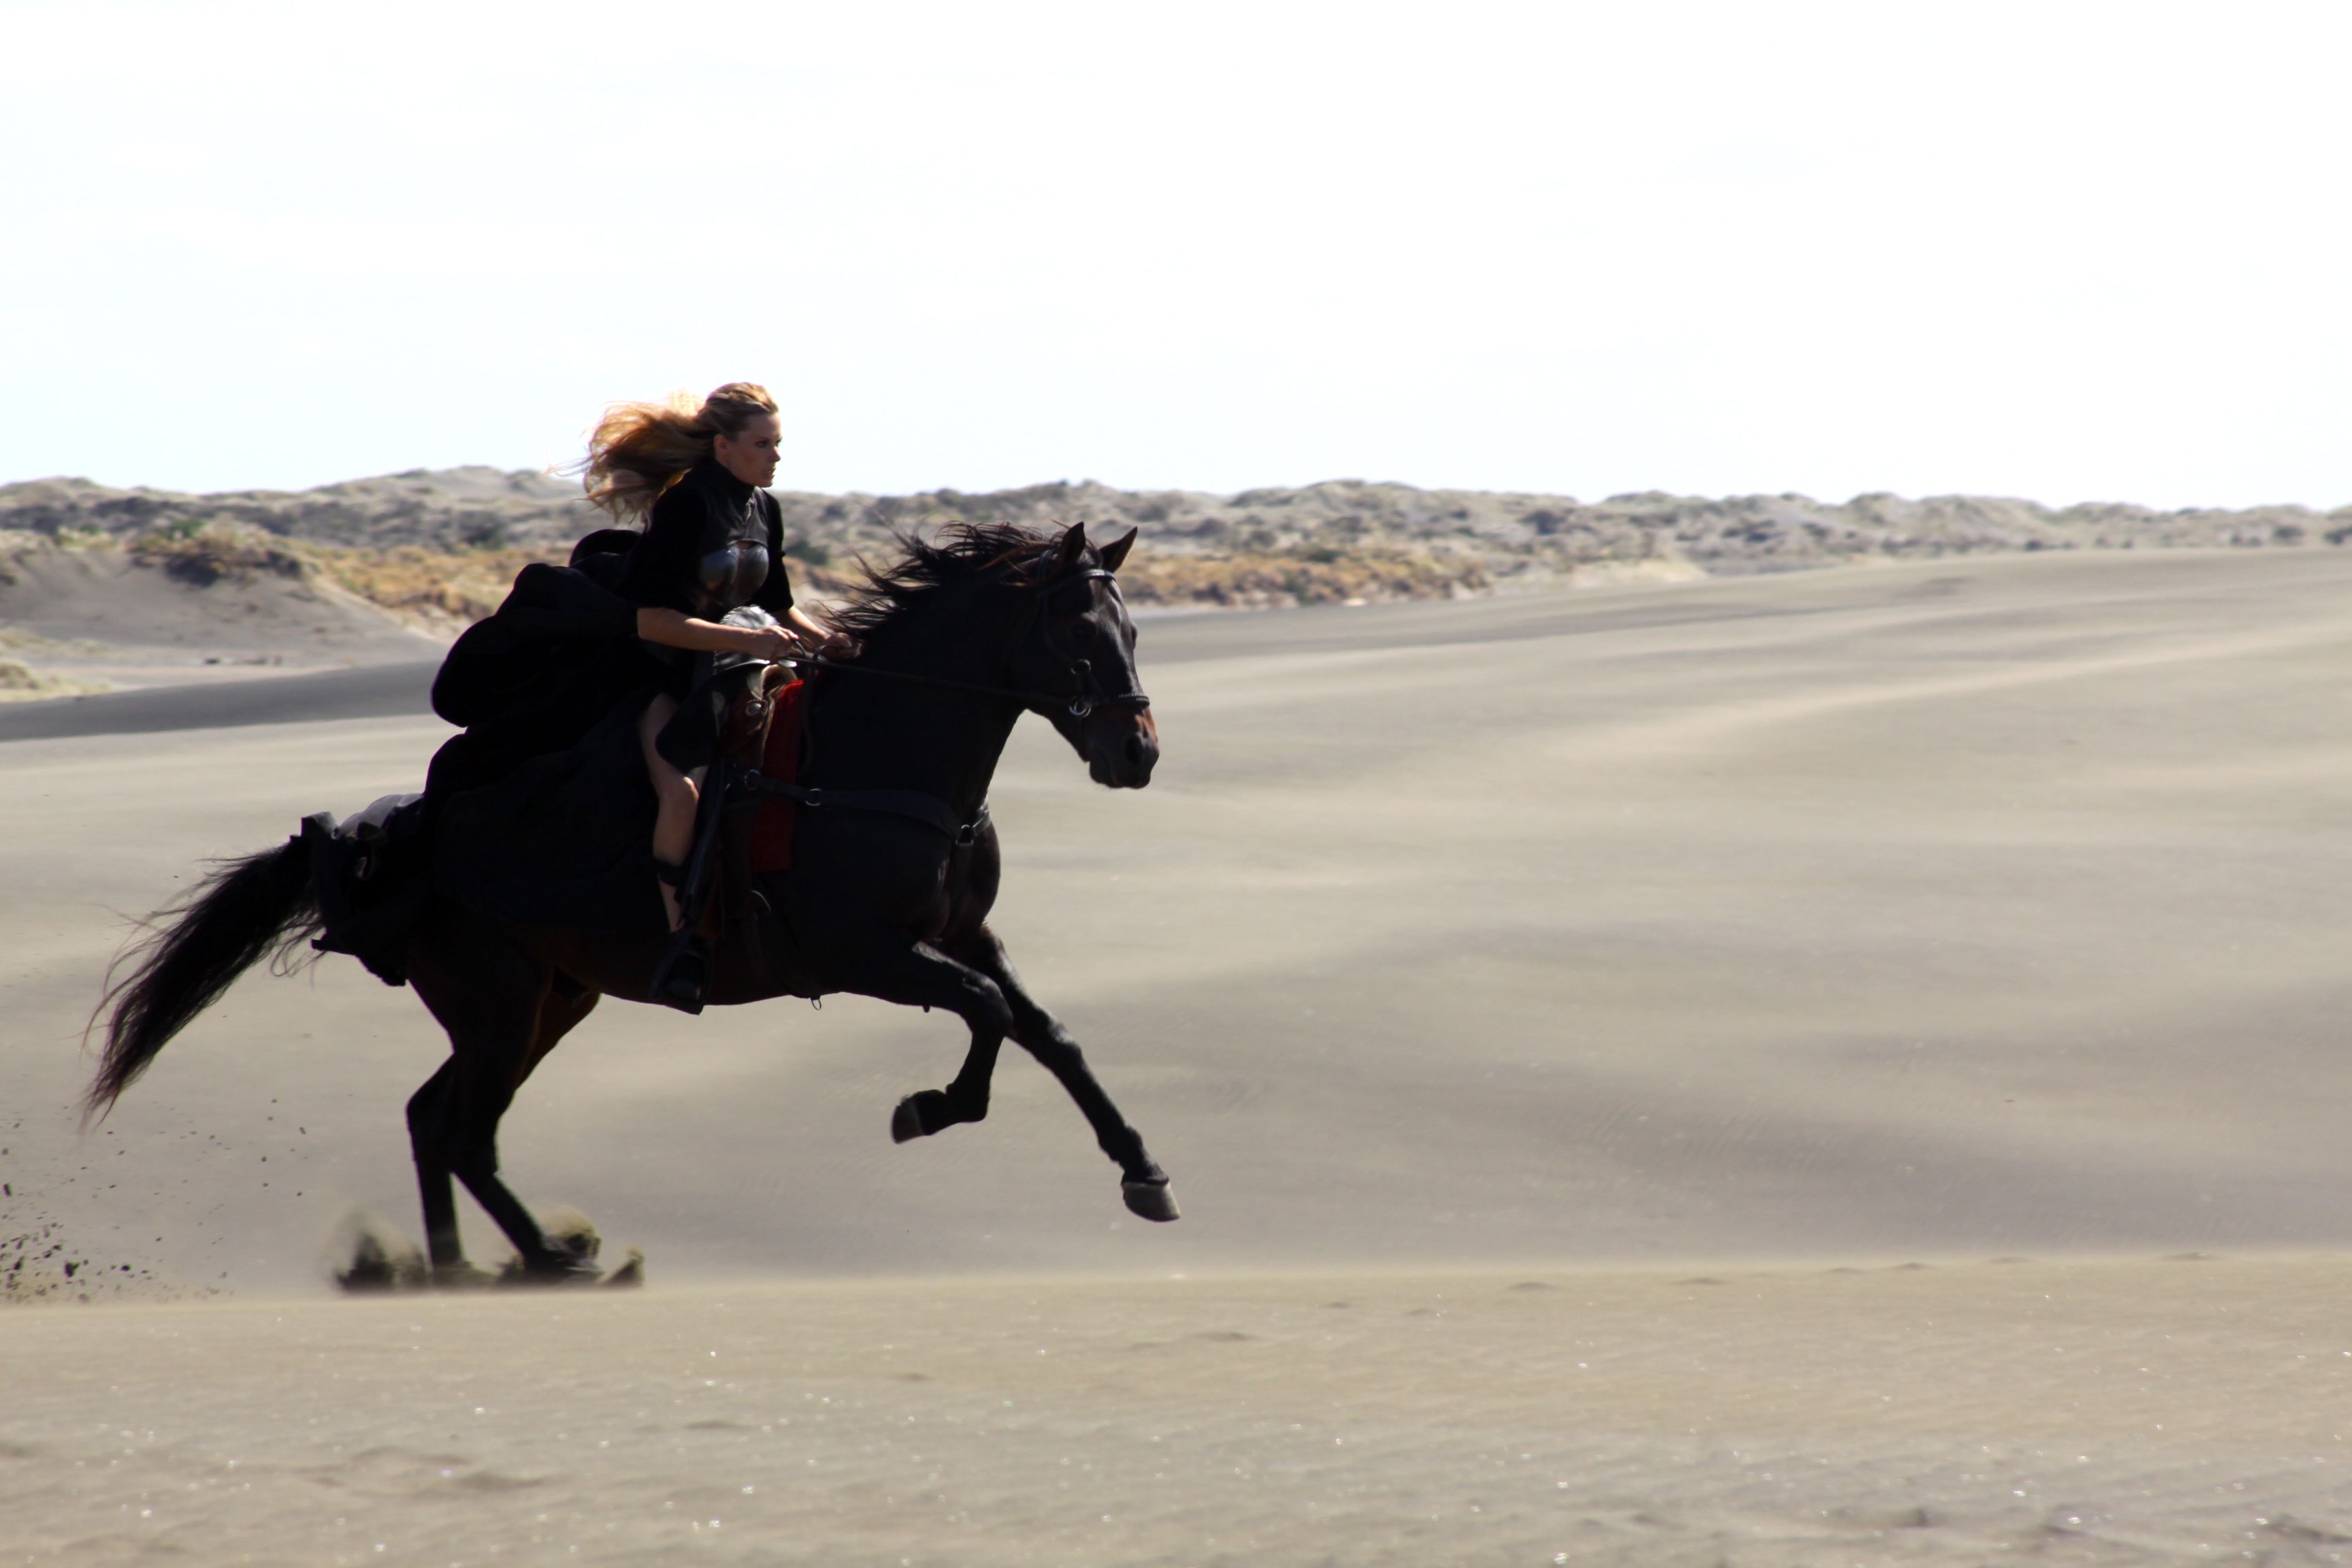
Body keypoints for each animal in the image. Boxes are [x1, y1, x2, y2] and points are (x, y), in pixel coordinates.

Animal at [86, 521, 1176, 1279]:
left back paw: (468, 1266)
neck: (879, 759)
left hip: (548, 1003)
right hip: (499, 1005)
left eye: (1132, 630)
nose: (1137, 755)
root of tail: (398, 839)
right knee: (457, 1127)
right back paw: (535, 1262)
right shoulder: (864, 953)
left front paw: (1142, 1170)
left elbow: (1048, 1033)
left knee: (437, 1119)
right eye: (1080, 639)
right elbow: (990, 1019)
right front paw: (929, 1107)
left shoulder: (964, 936)